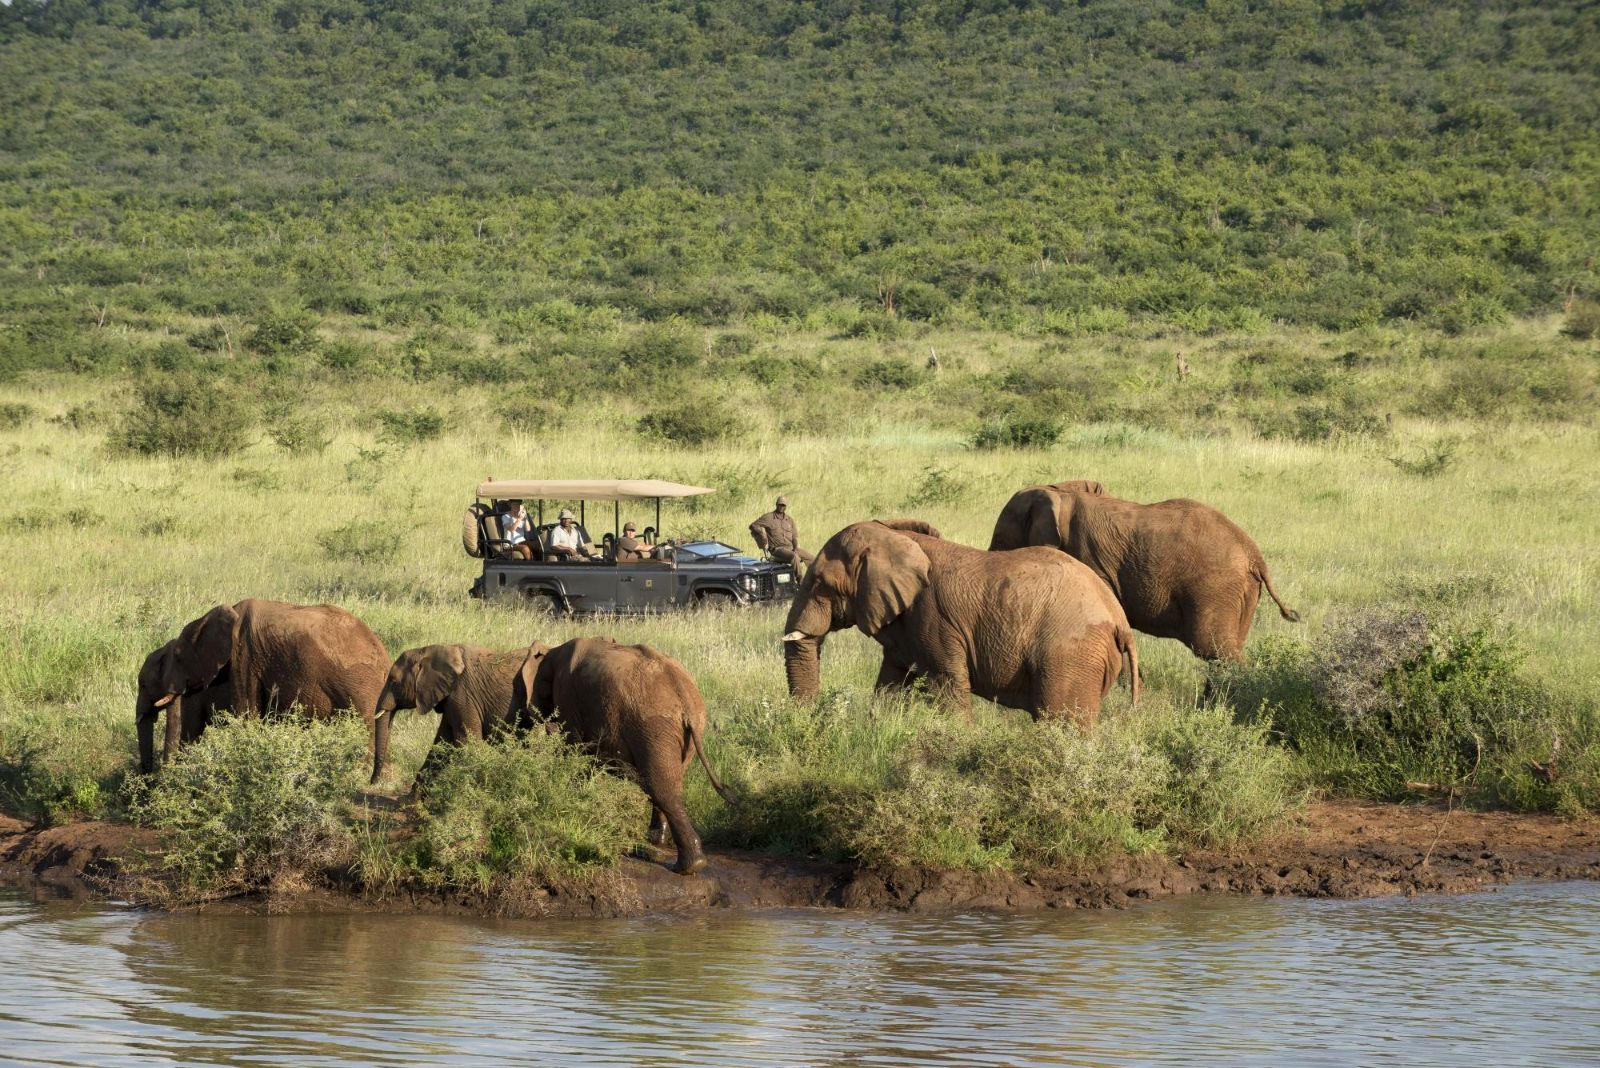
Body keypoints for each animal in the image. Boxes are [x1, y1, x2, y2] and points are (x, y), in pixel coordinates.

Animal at [135, 599, 390, 773]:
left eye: (144, 684)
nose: (150, 776)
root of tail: (384, 655)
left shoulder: (244, 659)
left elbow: (245, 716)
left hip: (359, 683)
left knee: (364, 724)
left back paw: (358, 773)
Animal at [371, 643, 532, 786]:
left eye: (393, 681)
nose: (372, 782)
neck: (429, 651)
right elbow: (441, 745)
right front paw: (411, 801)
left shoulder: (463, 695)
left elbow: (467, 744)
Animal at [519, 637, 733, 875]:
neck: (553, 650)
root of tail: (683, 692)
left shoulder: (568, 696)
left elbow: (576, 755)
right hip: (685, 729)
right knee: (668, 783)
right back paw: (657, 844)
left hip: (653, 725)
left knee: (661, 788)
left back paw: (686, 866)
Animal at [781, 519, 1139, 727]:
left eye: (820, 584)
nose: (808, 722)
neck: (895, 538)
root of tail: (1119, 620)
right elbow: (891, 682)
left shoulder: (934, 620)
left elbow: (947, 687)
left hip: (1070, 655)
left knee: (1061, 723)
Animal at [988, 480, 1300, 662]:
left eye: (1002, 540)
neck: (1060, 493)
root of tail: (1254, 556)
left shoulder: (1089, 558)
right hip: (1242, 594)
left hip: (1216, 587)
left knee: (1214, 649)